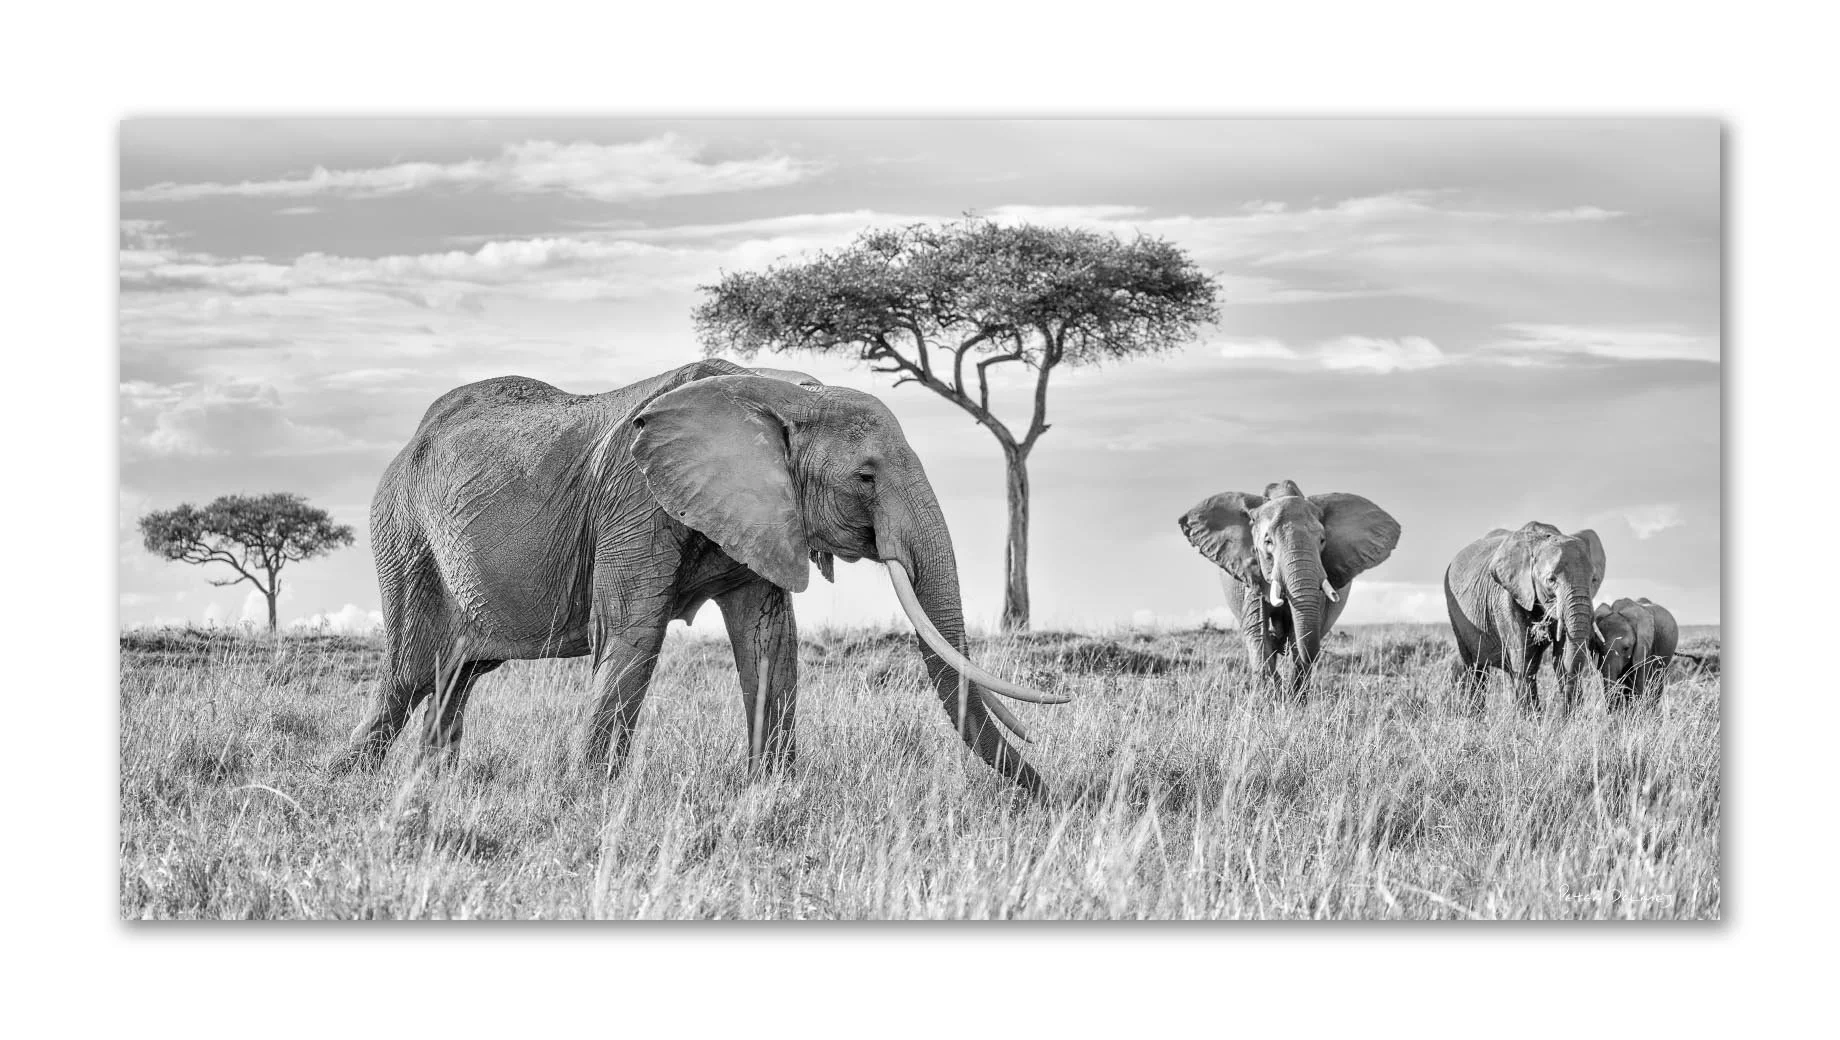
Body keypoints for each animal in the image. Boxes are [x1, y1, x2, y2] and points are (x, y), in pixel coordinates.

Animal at [334, 358, 1066, 795]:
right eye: (865, 477)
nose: (1054, 796)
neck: (777, 391)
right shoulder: (634, 498)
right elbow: (632, 633)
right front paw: (590, 797)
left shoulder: (762, 513)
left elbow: (770, 641)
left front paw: (772, 793)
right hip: (404, 535)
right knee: (409, 673)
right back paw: (344, 780)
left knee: (455, 674)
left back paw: (430, 785)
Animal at [1178, 480, 1401, 696]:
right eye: (1268, 542)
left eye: (1322, 540)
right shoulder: (1252, 572)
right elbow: (1258, 633)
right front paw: (1272, 699)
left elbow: (1298, 636)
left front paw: (1292, 700)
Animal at [1444, 522, 1606, 712]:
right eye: (1551, 580)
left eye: (1594, 580)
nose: (1561, 714)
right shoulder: (1508, 598)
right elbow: (1525, 663)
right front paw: (1532, 718)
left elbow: (1560, 659)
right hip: (1456, 614)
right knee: (1475, 668)